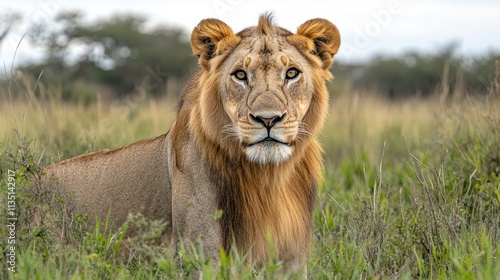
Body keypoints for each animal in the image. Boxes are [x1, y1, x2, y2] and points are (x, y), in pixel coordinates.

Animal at [45, 13, 340, 276]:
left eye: (292, 73)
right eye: (240, 75)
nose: (268, 119)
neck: (266, 177)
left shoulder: (292, 259)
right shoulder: (200, 255)